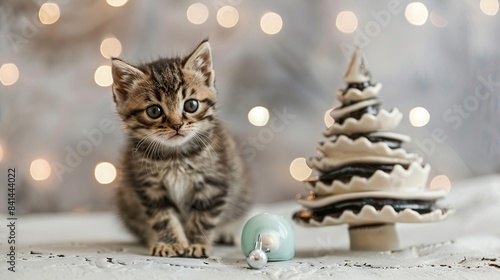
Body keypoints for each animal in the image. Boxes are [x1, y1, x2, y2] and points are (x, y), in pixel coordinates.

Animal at [111, 40, 252, 258]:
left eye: (191, 105)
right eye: (154, 111)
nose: (177, 125)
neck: (175, 156)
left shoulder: (214, 182)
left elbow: (203, 218)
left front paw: (196, 244)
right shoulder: (149, 186)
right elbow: (163, 217)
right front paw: (170, 243)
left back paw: (226, 233)